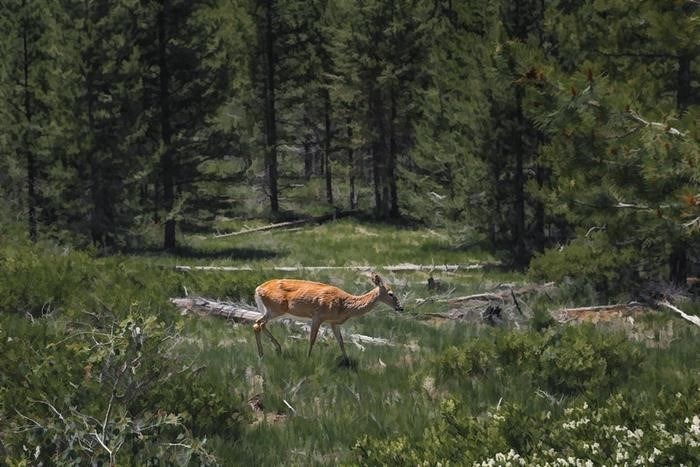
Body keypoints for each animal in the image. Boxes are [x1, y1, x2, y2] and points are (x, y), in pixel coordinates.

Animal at [253, 274, 404, 362]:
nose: (400, 307)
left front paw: (347, 362)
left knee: (260, 324)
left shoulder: (333, 322)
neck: (345, 306)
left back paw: (272, 350)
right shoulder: (318, 316)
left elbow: (341, 342)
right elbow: (312, 339)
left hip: (273, 310)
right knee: (257, 324)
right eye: (391, 293)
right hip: (275, 308)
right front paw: (308, 358)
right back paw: (264, 353)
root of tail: (258, 289)